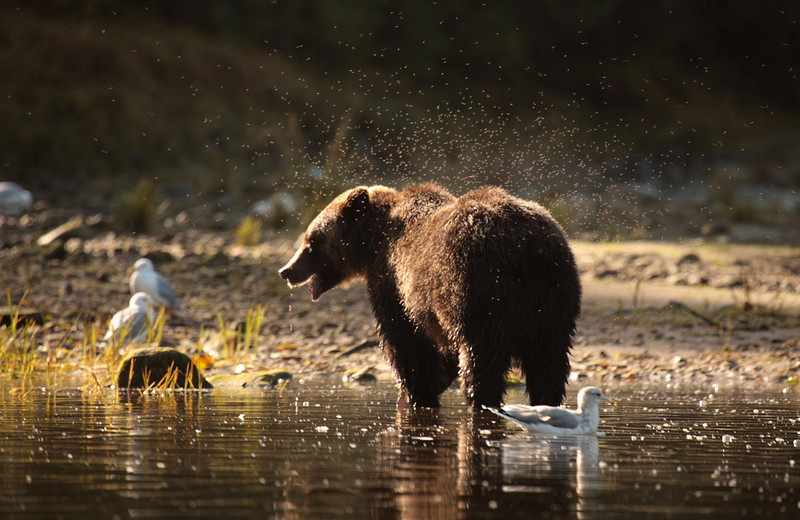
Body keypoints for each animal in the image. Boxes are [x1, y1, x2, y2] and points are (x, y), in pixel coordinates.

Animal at [280, 185, 580, 408]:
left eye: (311, 239)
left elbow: (405, 342)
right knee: (548, 361)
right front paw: (436, 380)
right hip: (553, 295)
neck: (373, 243)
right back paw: (546, 401)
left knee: (482, 361)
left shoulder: (394, 284)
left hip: (478, 290)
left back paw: (481, 401)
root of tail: (525, 248)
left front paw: (417, 394)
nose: (287, 270)